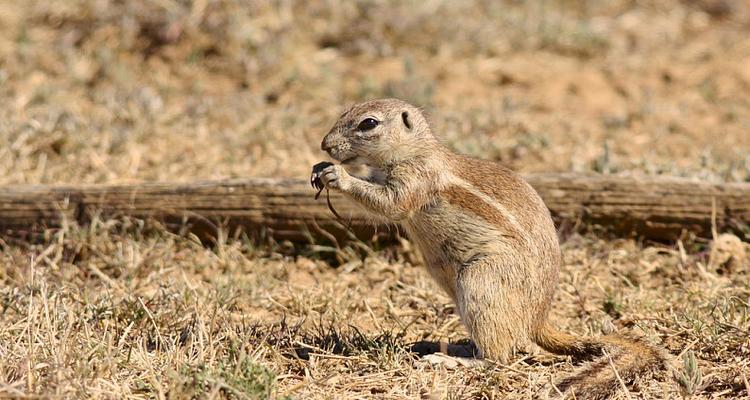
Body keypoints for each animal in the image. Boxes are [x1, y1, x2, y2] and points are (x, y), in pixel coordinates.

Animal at [312, 98, 668, 398]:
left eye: (368, 123)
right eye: (345, 111)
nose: (325, 145)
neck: (414, 149)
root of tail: (536, 319)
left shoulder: (416, 179)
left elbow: (389, 205)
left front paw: (337, 175)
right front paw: (319, 168)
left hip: (483, 280)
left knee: (500, 357)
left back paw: (454, 361)